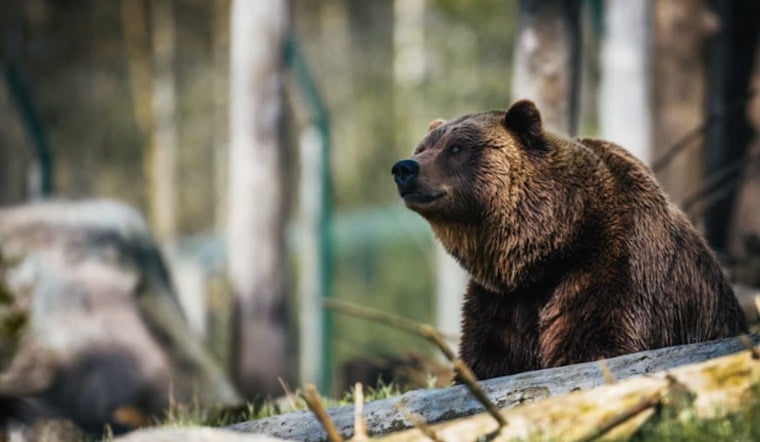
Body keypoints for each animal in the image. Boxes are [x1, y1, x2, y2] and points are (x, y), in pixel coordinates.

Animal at [391, 100, 748, 380]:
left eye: (456, 148)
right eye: (422, 148)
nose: (404, 168)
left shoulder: (613, 268)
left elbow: (595, 343)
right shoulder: (502, 302)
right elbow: (487, 359)